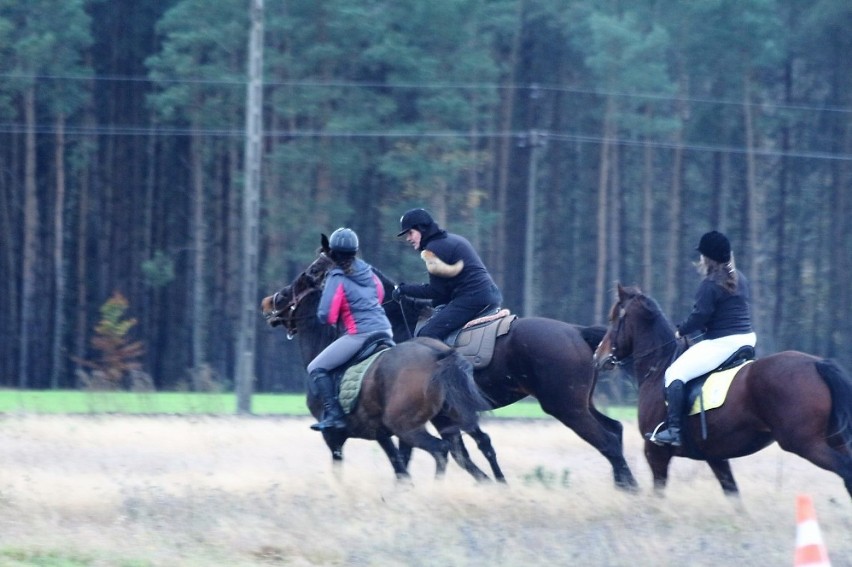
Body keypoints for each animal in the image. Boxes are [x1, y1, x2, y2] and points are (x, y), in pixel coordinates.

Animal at [266, 235, 640, 492]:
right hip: (581, 403)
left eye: (314, 270)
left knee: (607, 441)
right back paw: (628, 486)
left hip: (565, 406)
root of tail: (577, 331)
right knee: (615, 431)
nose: (274, 301)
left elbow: (416, 452)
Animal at [592, 284, 852, 502]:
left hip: (804, 443)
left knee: (845, 469)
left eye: (614, 319)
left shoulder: (656, 452)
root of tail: (817, 364)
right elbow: (732, 493)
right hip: (832, 439)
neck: (659, 367)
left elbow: (658, 493)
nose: (598, 357)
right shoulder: (715, 456)